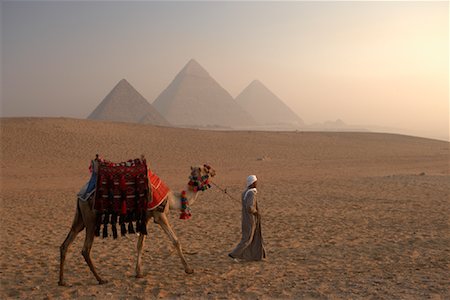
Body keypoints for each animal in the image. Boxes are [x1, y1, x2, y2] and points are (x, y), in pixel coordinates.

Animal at [58, 162, 216, 286]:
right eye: (206, 170)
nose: (215, 171)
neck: (172, 199)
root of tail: (81, 194)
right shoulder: (159, 215)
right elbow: (175, 241)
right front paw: (189, 269)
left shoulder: (146, 218)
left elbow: (140, 245)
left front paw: (138, 273)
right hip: (91, 218)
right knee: (85, 249)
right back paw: (101, 279)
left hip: (80, 217)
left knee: (65, 244)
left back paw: (62, 281)